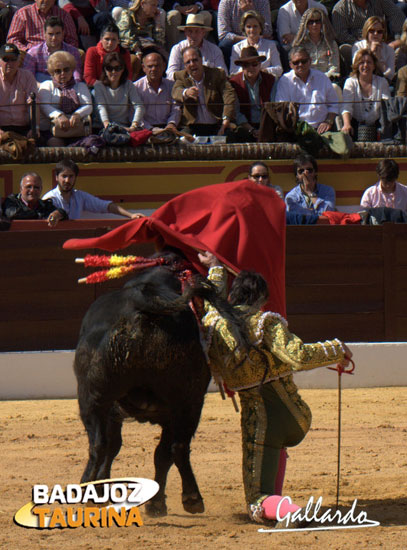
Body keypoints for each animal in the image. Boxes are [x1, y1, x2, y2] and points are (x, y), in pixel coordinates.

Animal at [73, 254, 245, 516]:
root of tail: (142, 299)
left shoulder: (116, 412)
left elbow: (117, 446)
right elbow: (158, 454)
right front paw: (156, 503)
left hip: (94, 400)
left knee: (98, 445)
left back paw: (88, 488)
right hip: (187, 402)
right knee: (177, 448)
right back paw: (191, 498)